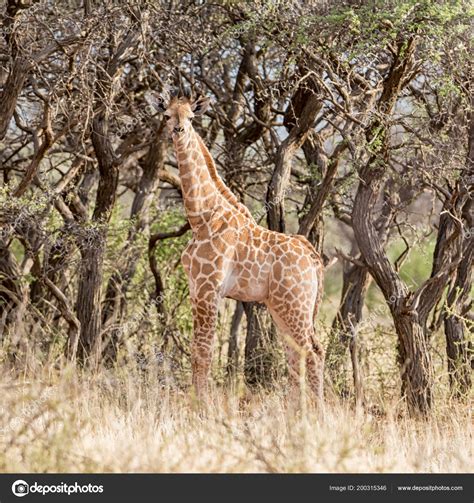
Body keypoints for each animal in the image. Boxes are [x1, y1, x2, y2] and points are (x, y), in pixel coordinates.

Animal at [149, 91, 326, 406]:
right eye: (167, 115)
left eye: (192, 117)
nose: (178, 131)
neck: (201, 216)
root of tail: (313, 257)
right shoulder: (196, 289)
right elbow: (198, 352)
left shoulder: (208, 289)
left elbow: (202, 353)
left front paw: (201, 406)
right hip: (282, 306)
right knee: (297, 354)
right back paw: (296, 411)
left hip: (295, 305)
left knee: (313, 352)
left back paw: (318, 412)